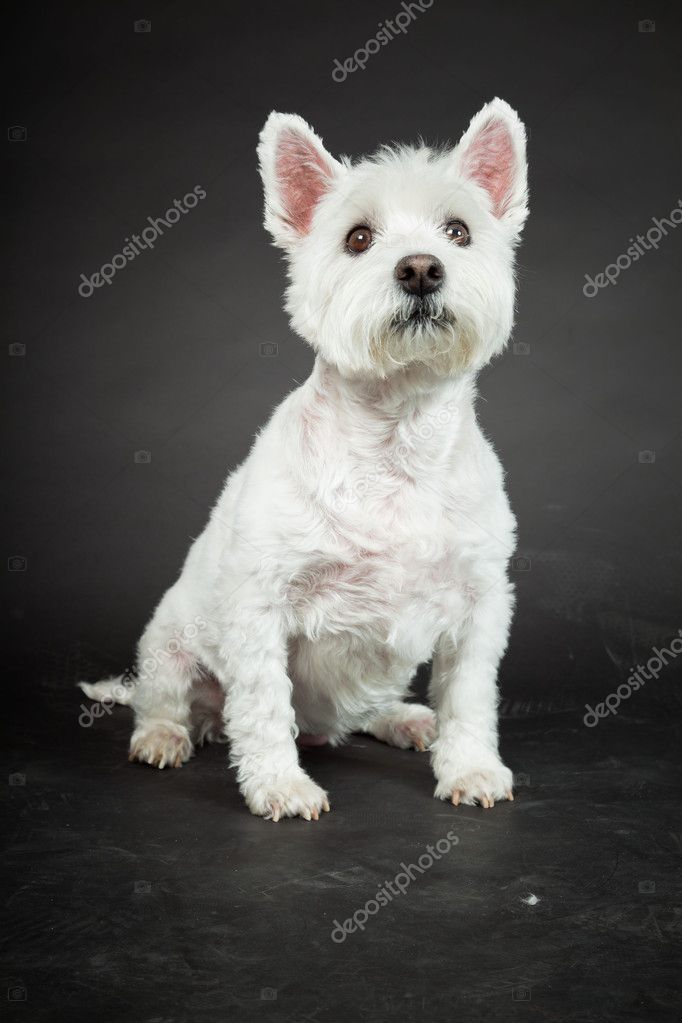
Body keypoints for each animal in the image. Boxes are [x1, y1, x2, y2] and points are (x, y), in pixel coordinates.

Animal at [80, 99, 527, 822]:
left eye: (458, 230)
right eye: (359, 238)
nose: (421, 268)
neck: (397, 438)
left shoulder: (481, 601)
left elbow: (469, 697)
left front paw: (471, 768)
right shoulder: (261, 605)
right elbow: (263, 705)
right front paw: (280, 787)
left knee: (362, 714)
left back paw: (407, 719)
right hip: (169, 643)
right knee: (169, 699)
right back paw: (163, 736)